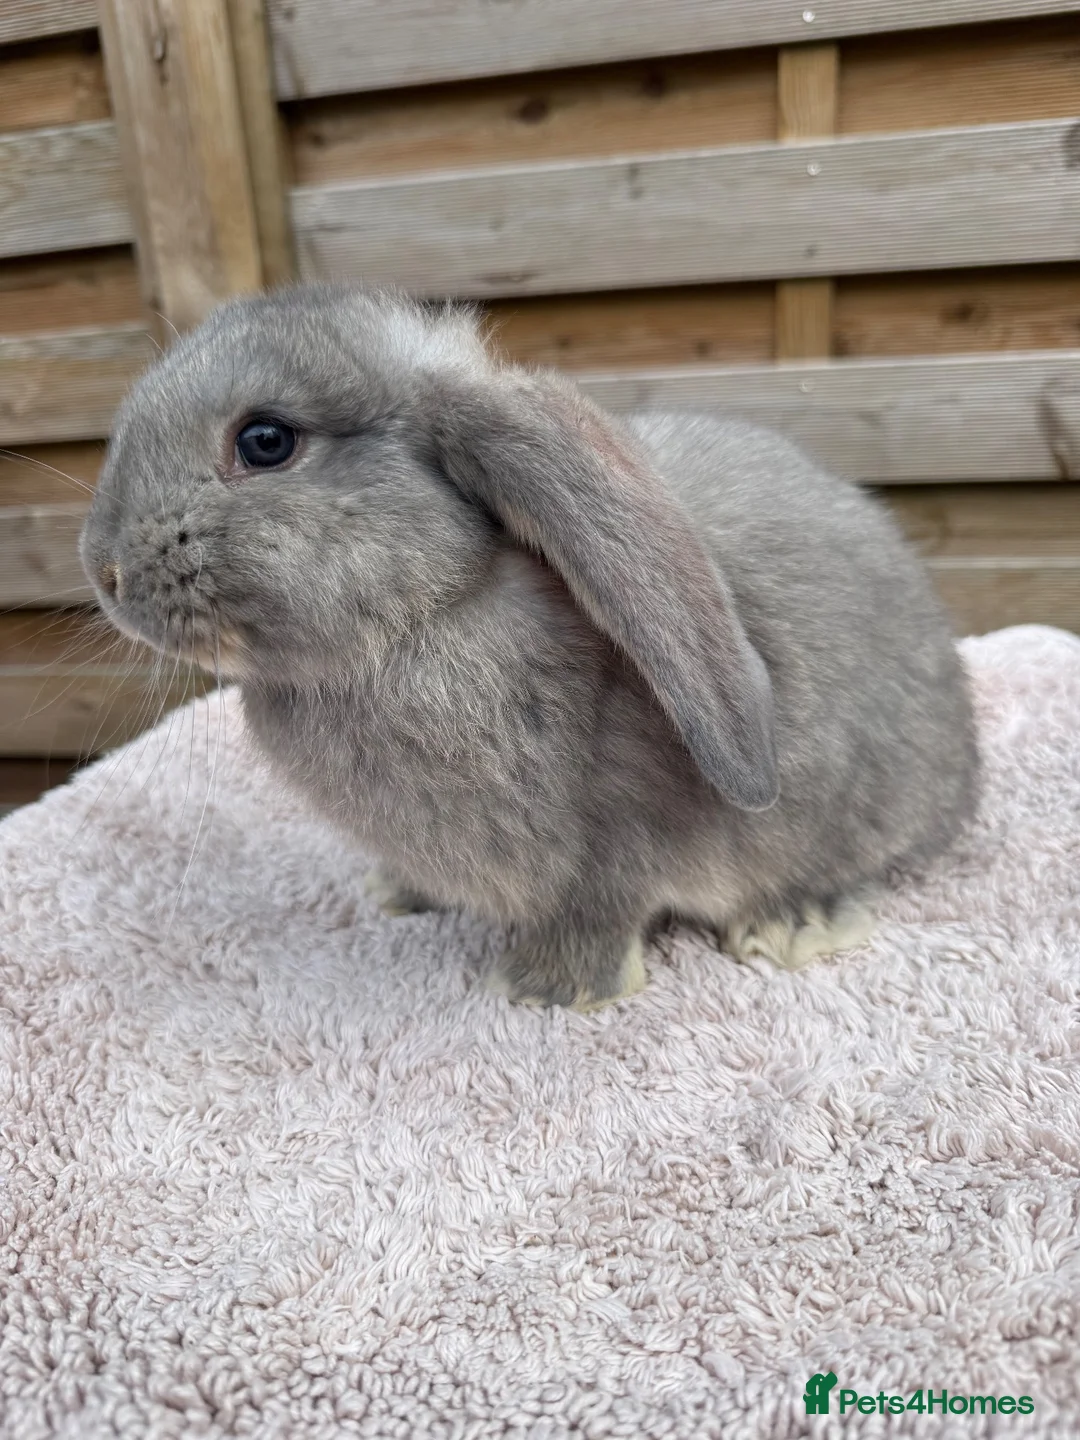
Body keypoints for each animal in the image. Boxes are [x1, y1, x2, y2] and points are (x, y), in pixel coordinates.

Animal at [80, 284, 979, 1010]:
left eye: (266, 441)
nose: (105, 571)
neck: (437, 610)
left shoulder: (622, 834)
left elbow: (604, 903)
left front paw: (548, 987)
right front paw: (399, 891)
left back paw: (795, 921)